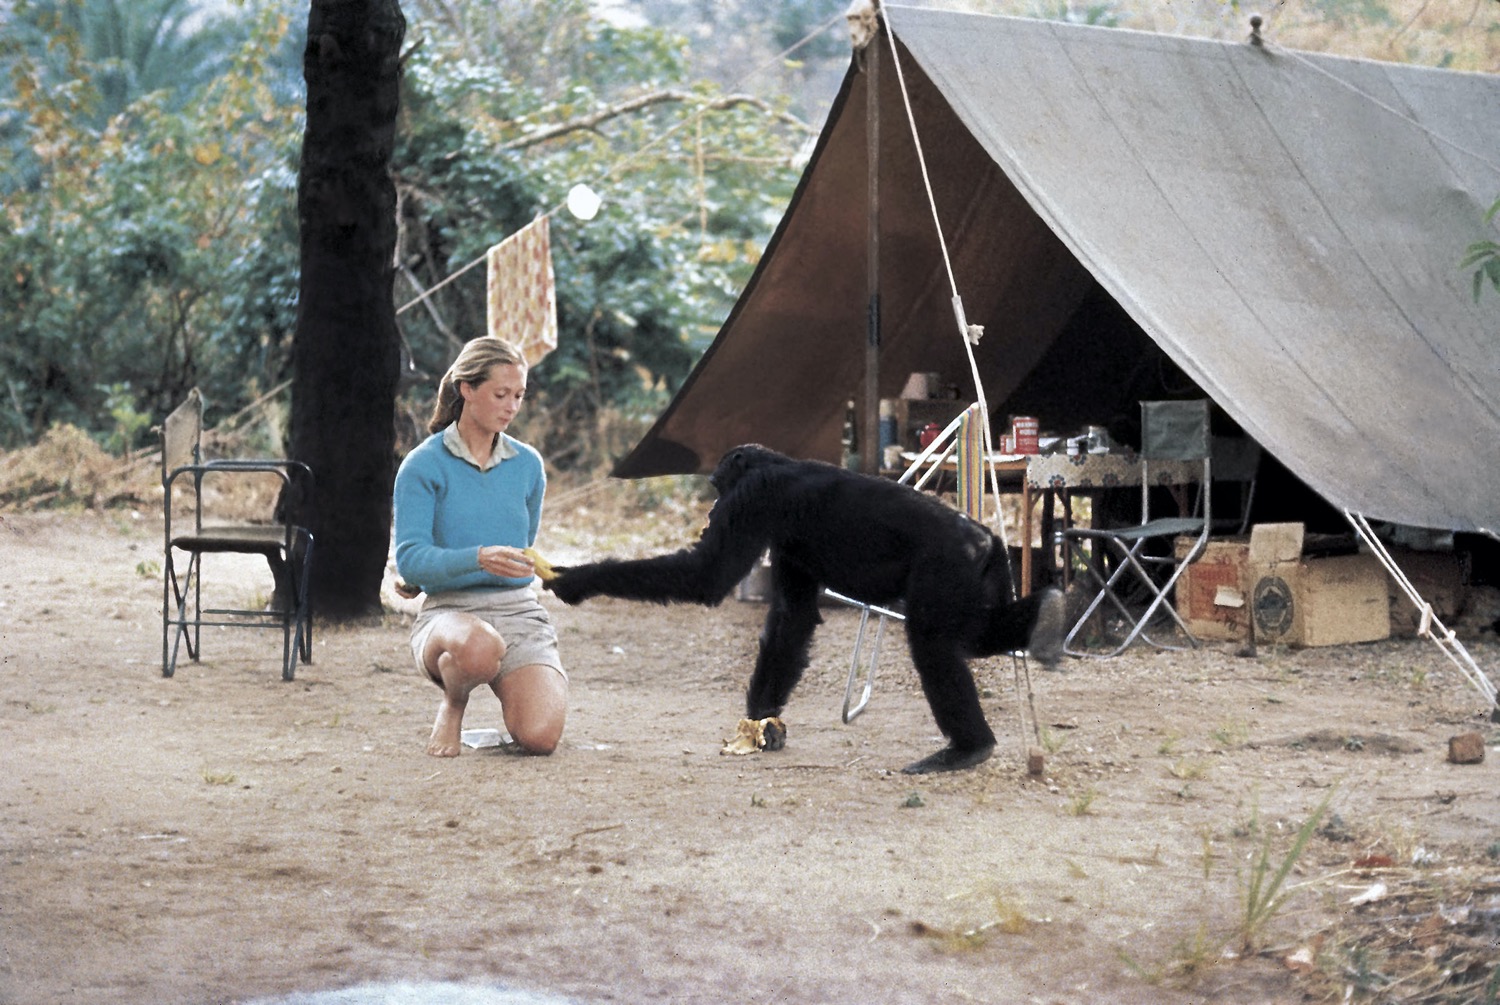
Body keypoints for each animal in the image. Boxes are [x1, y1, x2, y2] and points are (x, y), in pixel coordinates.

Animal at [546, 444, 1062, 774]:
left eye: (718, 486)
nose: (711, 509)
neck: (778, 463)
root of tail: (985, 538)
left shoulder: (754, 498)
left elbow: (705, 576)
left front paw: (578, 579)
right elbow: (791, 621)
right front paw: (762, 724)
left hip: (947, 568)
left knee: (934, 642)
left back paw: (968, 748)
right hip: (979, 578)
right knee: (977, 637)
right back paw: (1052, 618)